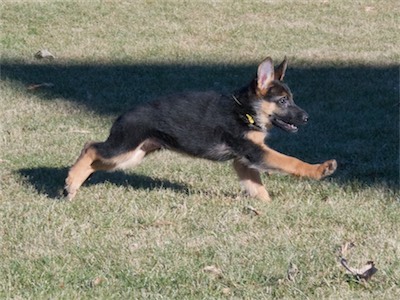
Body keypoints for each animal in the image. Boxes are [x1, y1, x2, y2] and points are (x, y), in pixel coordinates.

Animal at [64, 56, 336, 202]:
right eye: (282, 101)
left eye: (291, 99)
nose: (306, 118)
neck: (245, 110)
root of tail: (123, 115)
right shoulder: (254, 152)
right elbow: (291, 161)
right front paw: (320, 169)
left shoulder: (243, 161)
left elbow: (256, 186)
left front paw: (266, 205)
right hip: (123, 148)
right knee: (90, 147)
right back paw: (72, 179)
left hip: (130, 156)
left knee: (94, 158)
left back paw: (73, 184)